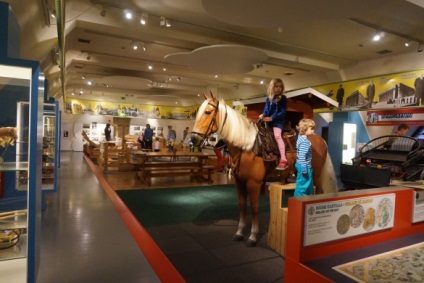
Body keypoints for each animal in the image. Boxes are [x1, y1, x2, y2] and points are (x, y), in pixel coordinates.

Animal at [193, 93, 338, 246]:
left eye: (207, 112)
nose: (193, 139)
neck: (247, 147)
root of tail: (321, 140)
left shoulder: (254, 183)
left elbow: (255, 207)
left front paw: (253, 236)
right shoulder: (239, 182)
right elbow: (242, 206)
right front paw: (239, 233)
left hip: (316, 175)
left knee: (319, 192)